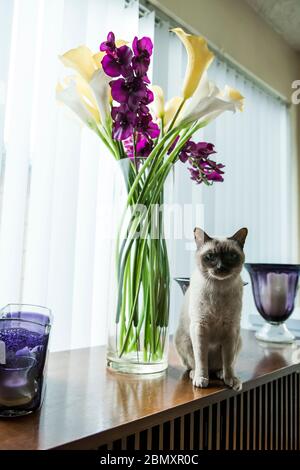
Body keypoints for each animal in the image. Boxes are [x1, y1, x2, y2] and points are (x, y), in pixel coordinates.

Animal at [173, 226, 248, 392]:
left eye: (231, 256)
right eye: (210, 256)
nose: (221, 267)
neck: (219, 288)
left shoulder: (231, 328)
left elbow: (228, 360)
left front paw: (230, 380)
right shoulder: (200, 327)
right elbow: (201, 359)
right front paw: (202, 380)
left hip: (238, 340)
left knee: (222, 365)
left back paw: (223, 375)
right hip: (185, 340)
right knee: (195, 365)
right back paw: (195, 375)